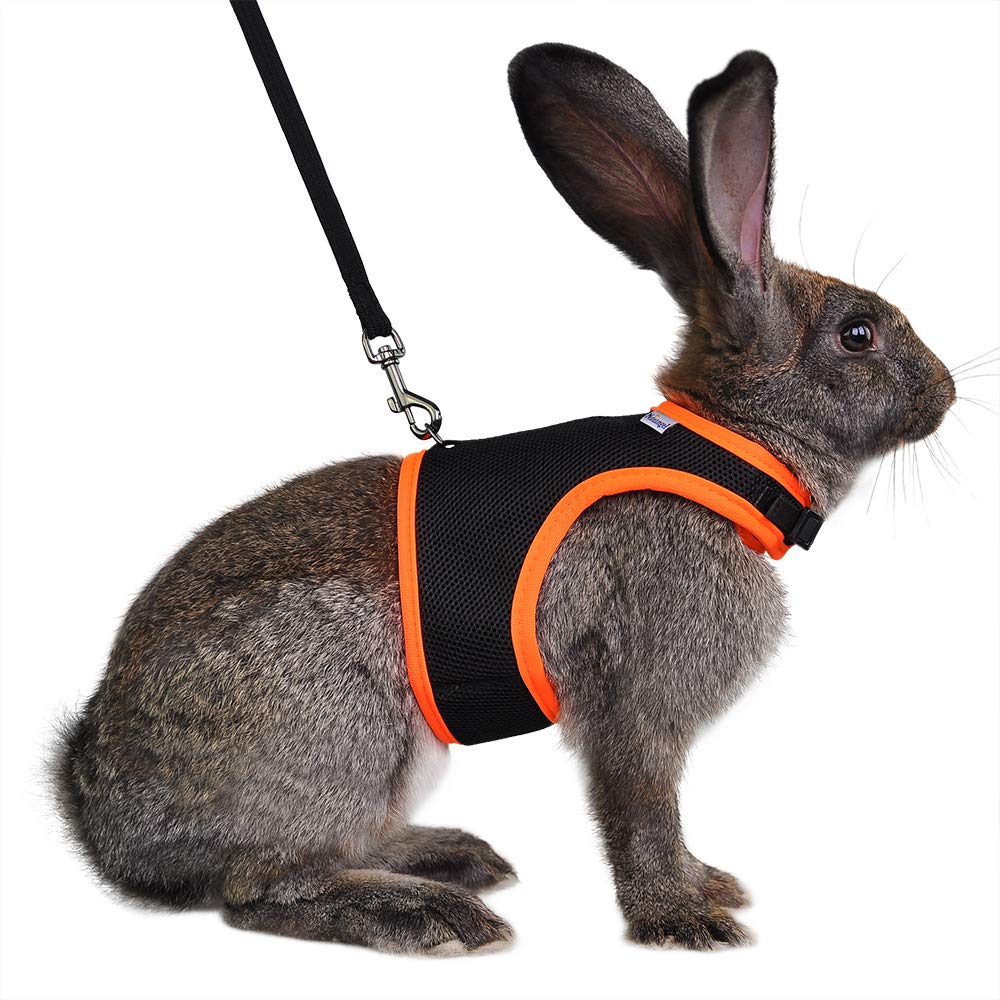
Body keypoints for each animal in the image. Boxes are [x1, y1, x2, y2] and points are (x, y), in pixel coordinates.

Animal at [54, 43, 955, 954]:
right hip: (345, 730)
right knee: (260, 888)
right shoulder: (637, 699)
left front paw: (708, 885)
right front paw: (681, 917)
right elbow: (641, 810)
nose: (945, 393)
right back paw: (428, 912)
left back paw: (451, 857)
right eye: (858, 335)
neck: (727, 448)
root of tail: (104, 812)